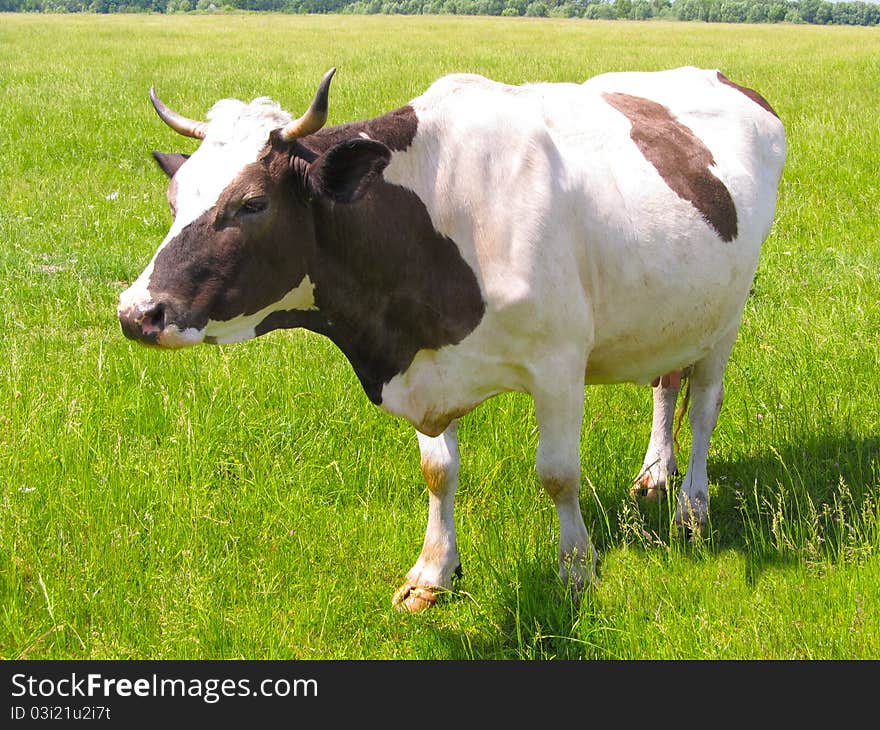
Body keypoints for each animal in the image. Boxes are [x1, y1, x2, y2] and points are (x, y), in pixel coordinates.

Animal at [117, 65, 784, 608]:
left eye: (252, 202)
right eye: (174, 197)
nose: (136, 311)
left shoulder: (558, 364)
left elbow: (558, 473)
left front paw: (575, 569)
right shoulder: (426, 357)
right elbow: (438, 471)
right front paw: (433, 573)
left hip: (726, 315)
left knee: (705, 405)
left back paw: (692, 505)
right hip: (678, 311)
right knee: (667, 383)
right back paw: (655, 472)